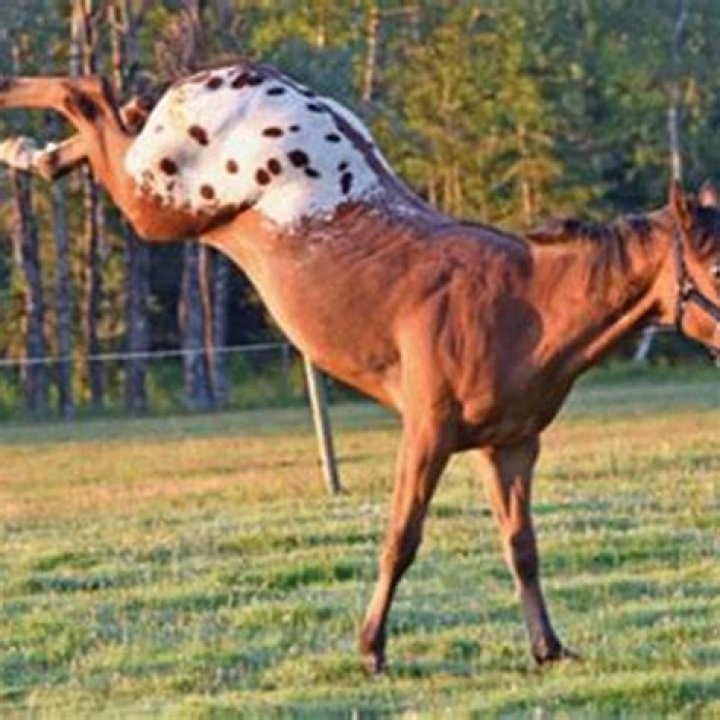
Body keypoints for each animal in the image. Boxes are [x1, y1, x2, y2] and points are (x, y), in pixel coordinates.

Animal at [0, 59, 718, 673]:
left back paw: (29, 152)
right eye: (714, 267)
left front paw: (548, 648)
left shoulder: (511, 447)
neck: (521, 305)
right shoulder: (427, 435)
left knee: (107, 116)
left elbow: (523, 548)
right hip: (157, 205)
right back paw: (17, 117)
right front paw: (371, 648)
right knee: (87, 95)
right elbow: (403, 538)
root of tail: (239, 73)